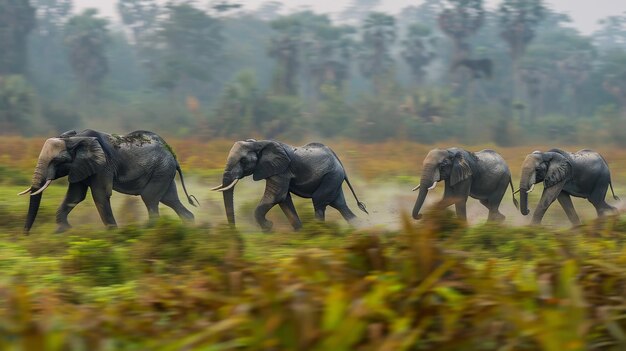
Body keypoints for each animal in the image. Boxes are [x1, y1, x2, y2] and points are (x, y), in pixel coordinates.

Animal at [19, 129, 196, 234]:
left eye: (57, 161)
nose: (26, 234)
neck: (74, 138)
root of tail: (173, 155)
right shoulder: (80, 166)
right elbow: (75, 196)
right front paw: (62, 231)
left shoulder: (103, 166)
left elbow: (100, 195)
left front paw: (113, 234)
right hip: (164, 172)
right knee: (169, 199)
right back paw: (189, 225)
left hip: (161, 170)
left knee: (150, 198)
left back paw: (150, 230)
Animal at [211, 139, 366, 232]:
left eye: (243, 161)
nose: (234, 232)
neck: (259, 143)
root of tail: (340, 163)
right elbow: (284, 199)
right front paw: (298, 232)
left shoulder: (282, 170)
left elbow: (276, 197)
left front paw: (268, 227)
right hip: (333, 179)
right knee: (340, 205)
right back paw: (361, 228)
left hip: (331, 176)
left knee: (319, 202)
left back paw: (319, 231)